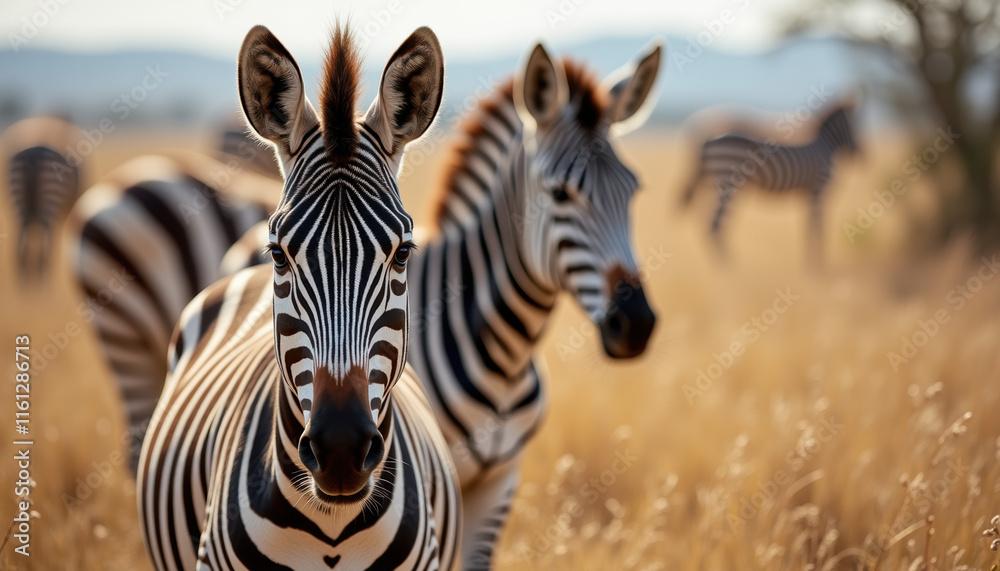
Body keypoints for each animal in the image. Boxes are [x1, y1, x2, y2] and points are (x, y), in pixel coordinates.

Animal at [679, 102, 859, 264]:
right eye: (855, 126)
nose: (860, 155)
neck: (824, 145)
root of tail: (708, 140)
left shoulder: (808, 193)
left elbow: (809, 226)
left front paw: (810, 262)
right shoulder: (818, 189)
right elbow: (817, 226)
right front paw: (818, 265)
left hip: (711, 186)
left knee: (702, 220)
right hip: (727, 184)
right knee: (714, 225)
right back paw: (729, 270)